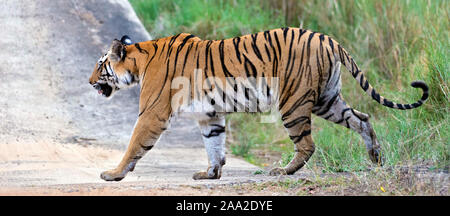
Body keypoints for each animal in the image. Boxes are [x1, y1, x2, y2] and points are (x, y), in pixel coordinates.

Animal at [89, 27, 428, 181]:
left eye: (100, 64)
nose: (90, 81)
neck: (140, 60)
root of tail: (328, 38)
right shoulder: (210, 114)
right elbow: (214, 144)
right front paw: (211, 174)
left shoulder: (152, 112)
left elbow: (134, 144)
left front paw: (114, 174)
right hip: (327, 100)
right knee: (362, 118)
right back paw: (375, 157)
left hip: (293, 102)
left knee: (307, 144)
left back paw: (283, 171)